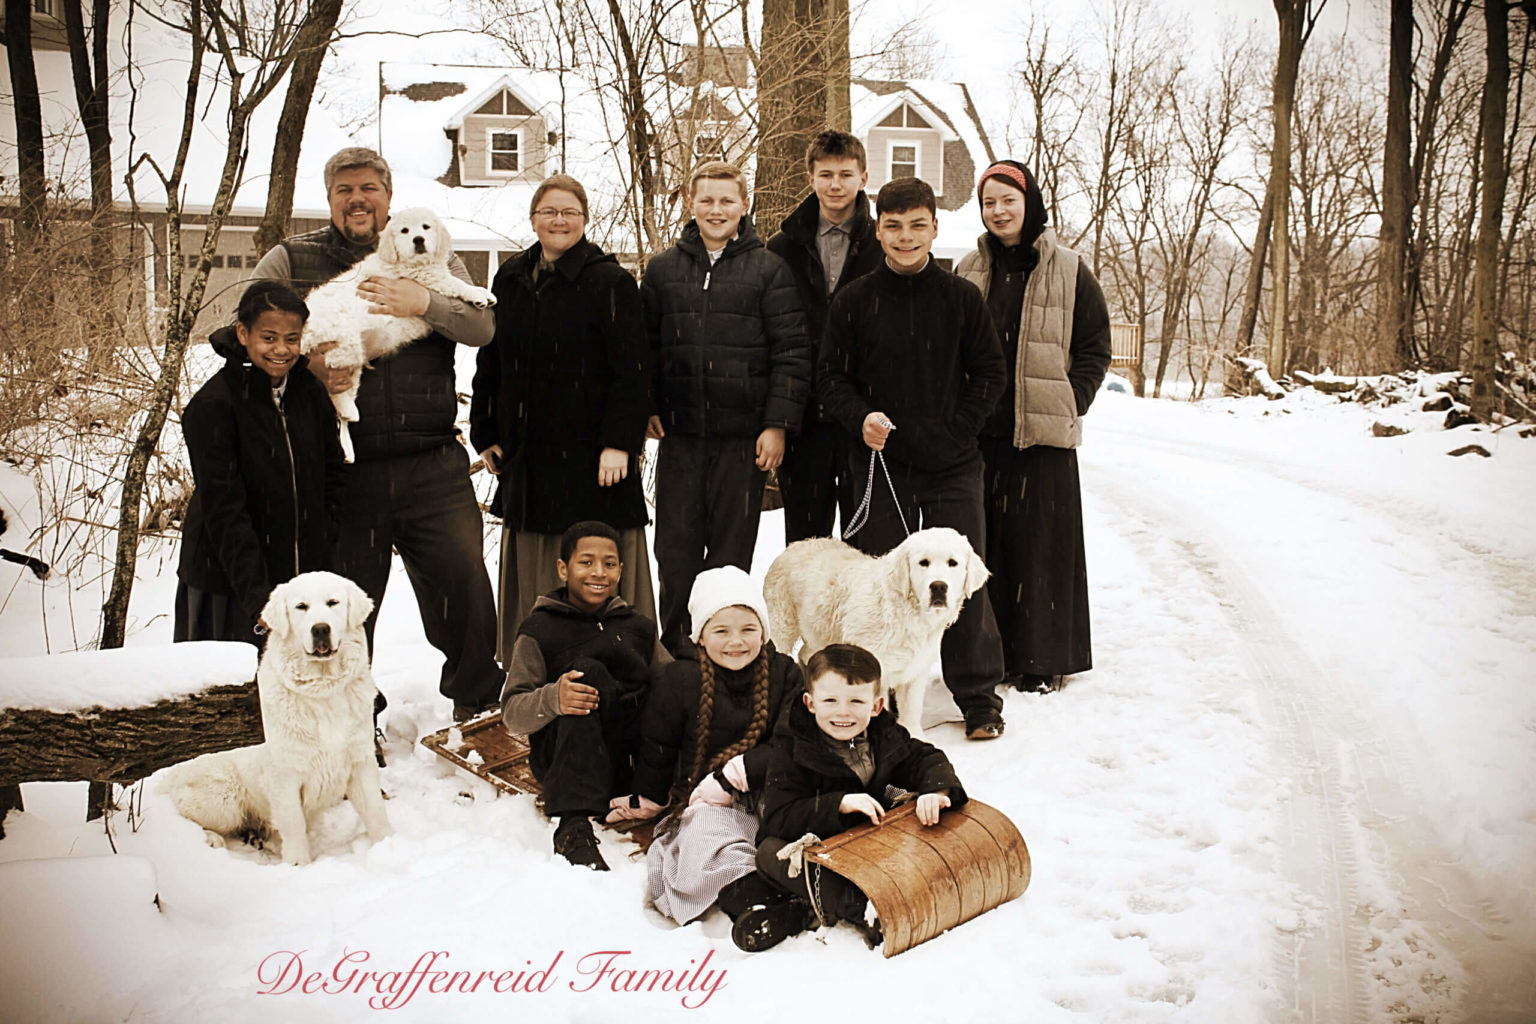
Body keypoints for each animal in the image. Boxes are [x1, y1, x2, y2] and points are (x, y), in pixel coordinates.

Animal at [156, 568, 393, 865]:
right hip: (223, 800)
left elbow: (375, 810)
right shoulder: (284, 775)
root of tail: (168, 777)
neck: (322, 691)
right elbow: (293, 823)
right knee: (184, 816)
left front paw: (389, 845)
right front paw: (298, 864)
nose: (320, 629)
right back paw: (212, 839)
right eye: (301, 607)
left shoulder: (359, 761)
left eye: (333, 603)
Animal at [297, 207, 491, 460]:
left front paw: (483, 294)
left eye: (426, 227)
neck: (412, 263)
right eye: (404, 231)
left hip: (352, 357)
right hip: (344, 344)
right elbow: (454, 282)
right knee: (334, 388)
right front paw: (478, 293)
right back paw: (349, 414)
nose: (418, 240)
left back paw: (349, 441)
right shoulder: (426, 278)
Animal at [761, 528, 989, 736]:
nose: (939, 586)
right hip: (782, 625)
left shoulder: (916, 671)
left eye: (953, 563)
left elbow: (911, 711)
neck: (906, 613)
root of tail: (795, 545)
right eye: (923, 562)